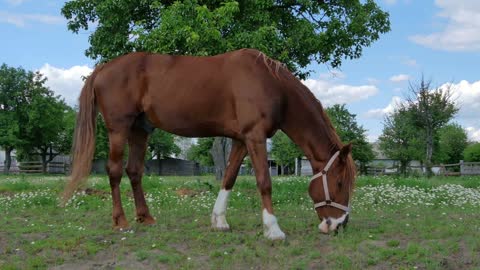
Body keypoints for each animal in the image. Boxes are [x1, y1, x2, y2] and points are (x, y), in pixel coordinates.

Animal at [62, 49, 356, 240]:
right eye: (340, 183)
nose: (340, 225)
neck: (269, 83)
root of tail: (104, 68)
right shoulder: (255, 136)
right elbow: (264, 181)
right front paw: (273, 229)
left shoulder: (241, 139)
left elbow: (229, 177)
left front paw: (219, 221)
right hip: (119, 129)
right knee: (114, 171)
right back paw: (121, 221)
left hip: (140, 130)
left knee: (134, 171)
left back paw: (146, 217)